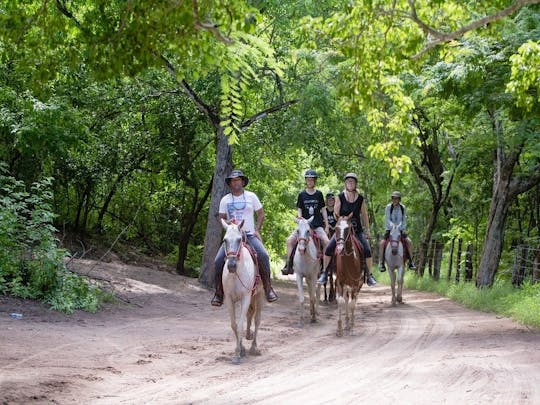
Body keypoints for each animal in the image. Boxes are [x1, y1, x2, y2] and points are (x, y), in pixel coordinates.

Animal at [218, 219, 262, 364]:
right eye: (225, 240)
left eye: (239, 240)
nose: (231, 265)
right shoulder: (230, 299)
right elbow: (234, 325)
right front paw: (240, 350)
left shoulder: (245, 298)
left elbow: (240, 325)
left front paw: (237, 354)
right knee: (250, 316)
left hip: (259, 296)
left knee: (257, 320)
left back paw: (254, 347)